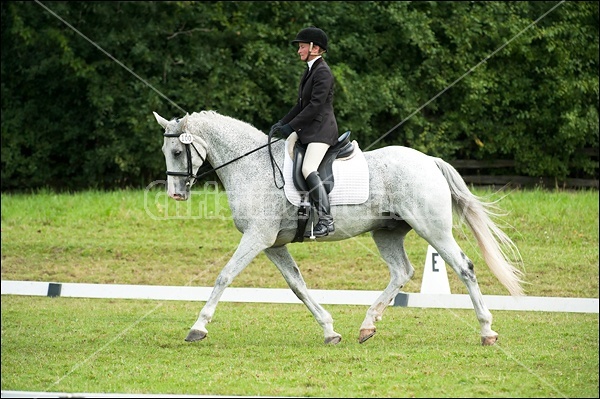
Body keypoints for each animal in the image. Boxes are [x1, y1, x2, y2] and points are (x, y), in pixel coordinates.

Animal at [155, 110, 524, 346]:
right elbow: (298, 286)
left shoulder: (257, 237)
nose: (176, 194)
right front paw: (330, 331)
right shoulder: (273, 243)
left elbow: (225, 276)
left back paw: (487, 332)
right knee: (401, 271)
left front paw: (198, 328)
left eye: (177, 151)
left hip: (433, 229)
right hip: (386, 231)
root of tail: (429, 160)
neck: (254, 165)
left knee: (464, 267)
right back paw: (367, 326)